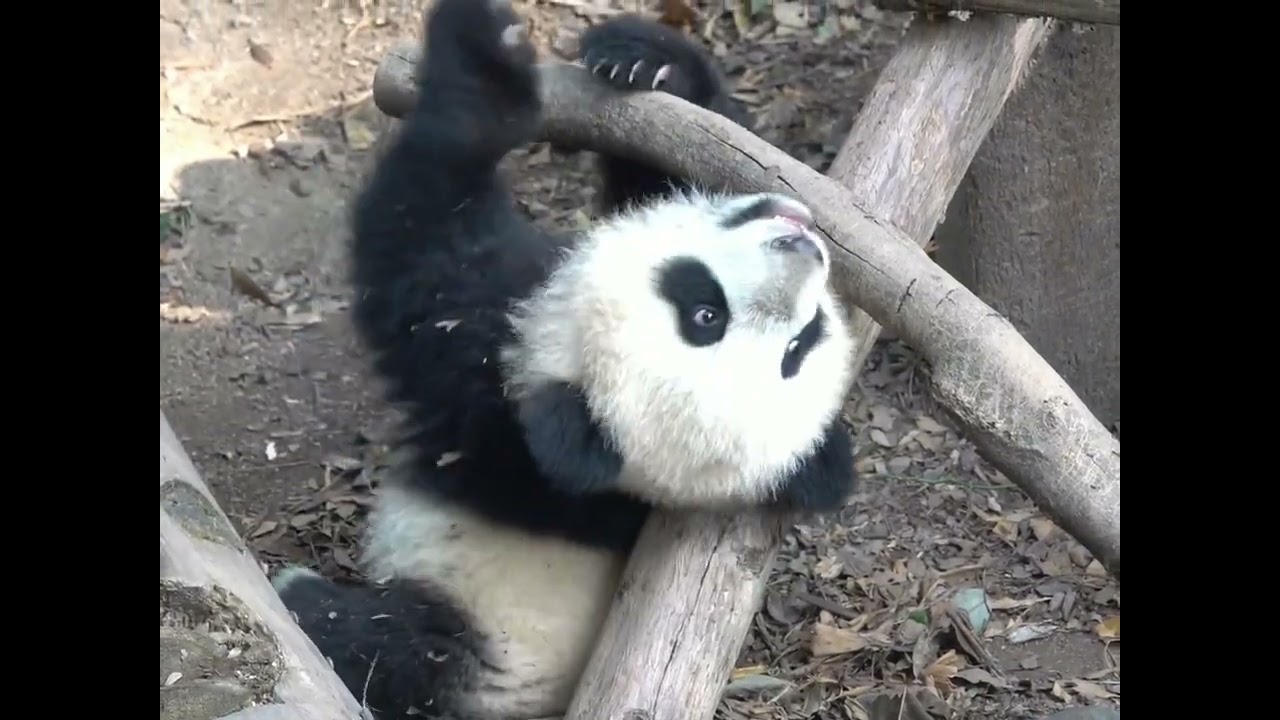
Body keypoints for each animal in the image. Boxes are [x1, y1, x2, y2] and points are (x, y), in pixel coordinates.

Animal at [270, 1, 860, 718]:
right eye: (800, 347)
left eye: (705, 315)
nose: (804, 251)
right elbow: (669, 166)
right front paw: (646, 62)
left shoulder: (483, 375)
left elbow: (422, 232)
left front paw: (486, 66)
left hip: (476, 645)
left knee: (396, 647)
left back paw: (304, 595)